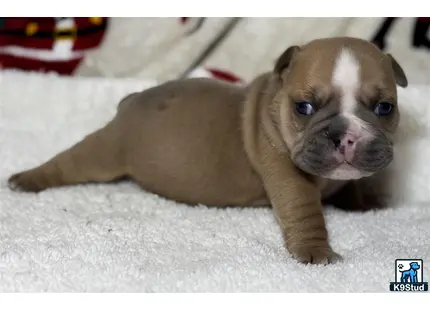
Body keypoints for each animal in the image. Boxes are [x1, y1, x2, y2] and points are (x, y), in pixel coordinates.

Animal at [8, 36, 408, 264]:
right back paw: (26, 180)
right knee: (70, 162)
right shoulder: (287, 174)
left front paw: (367, 205)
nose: (347, 136)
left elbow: (355, 186)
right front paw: (316, 253)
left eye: (385, 107)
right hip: (105, 150)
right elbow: (305, 212)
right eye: (304, 107)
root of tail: (130, 101)